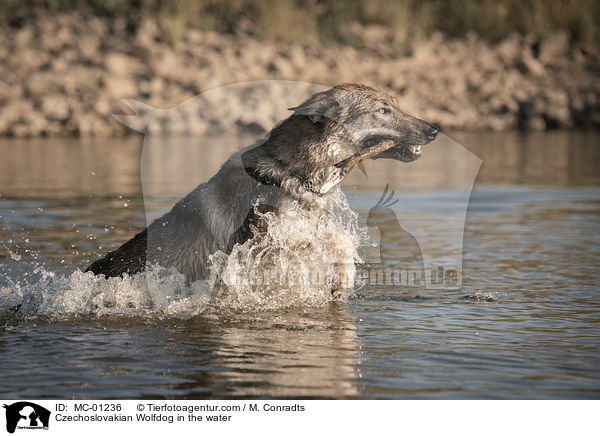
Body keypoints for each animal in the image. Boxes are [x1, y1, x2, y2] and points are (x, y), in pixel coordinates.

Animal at [84, 83, 438, 294]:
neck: (292, 172)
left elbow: (333, 238)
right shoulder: (264, 246)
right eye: (383, 110)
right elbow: (336, 240)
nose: (434, 130)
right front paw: (343, 277)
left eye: (395, 105)